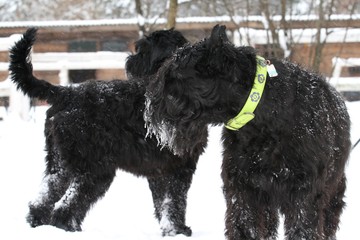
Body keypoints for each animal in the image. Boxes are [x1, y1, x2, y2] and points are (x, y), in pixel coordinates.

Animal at [9, 27, 205, 235]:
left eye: (144, 52)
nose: (129, 62)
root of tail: (66, 93)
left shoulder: (159, 171)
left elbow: (163, 203)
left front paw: (169, 230)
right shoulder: (180, 168)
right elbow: (175, 201)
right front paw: (178, 230)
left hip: (60, 161)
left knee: (44, 196)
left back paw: (39, 222)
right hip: (95, 169)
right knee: (66, 206)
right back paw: (69, 227)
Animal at [144, 24, 352, 240]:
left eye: (176, 74)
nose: (150, 103)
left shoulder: (304, 193)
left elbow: (302, 229)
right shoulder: (243, 187)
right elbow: (243, 224)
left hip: (333, 192)